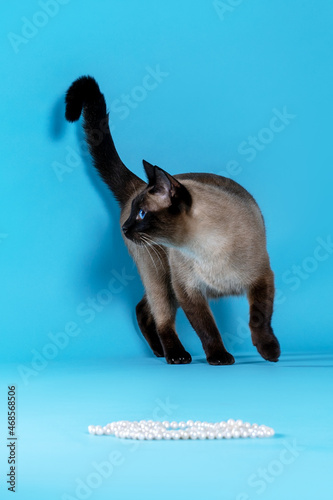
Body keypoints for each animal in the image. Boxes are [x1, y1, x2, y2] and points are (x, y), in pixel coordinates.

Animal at [63, 78, 278, 366]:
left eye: (142, 214)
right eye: (134, 213)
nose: (125, 228)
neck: (207, 249)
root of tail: (139, 183)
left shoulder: (261, 278)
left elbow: (259, 319)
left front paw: (270, 352)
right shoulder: (186, 290)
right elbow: (206, 328)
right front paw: (219, 358)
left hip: (163, 278)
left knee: (144, 309)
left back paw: (159, 352)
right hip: (160, 277)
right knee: (158, 316)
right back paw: (175, 355)